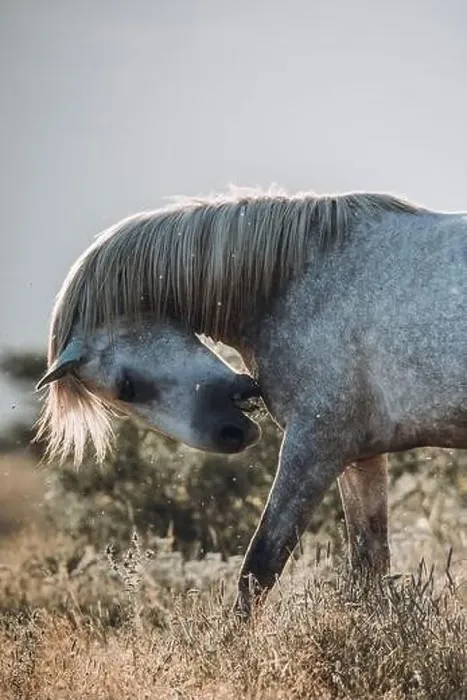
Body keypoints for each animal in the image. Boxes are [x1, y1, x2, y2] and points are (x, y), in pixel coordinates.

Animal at [36, 187, 467, 616]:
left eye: (126, 386)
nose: (230, 433)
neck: (299, 277)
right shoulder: (360, 457)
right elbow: (369, 564)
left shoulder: (315, 446)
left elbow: (259, 566)